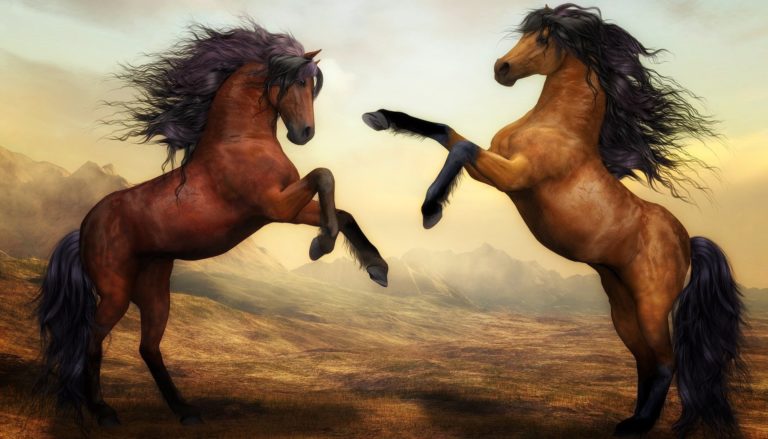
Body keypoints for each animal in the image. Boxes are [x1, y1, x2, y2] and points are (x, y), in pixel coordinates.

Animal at [35, 23, 389, 427]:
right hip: (115, 292)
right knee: (92, 339)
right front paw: (322, 245)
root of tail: (83, 228)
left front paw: (375, 267)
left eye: (311, 85)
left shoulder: (283, 208)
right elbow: (324, 176)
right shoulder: (275, 205)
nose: (304, 133)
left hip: (154, 289)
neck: (240, 141)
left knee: (148, 347)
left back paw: (185, 410)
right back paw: (103, 410)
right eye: (297, 82)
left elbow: (342, 212)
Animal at [363, 4, 744, 438]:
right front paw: (380, 117)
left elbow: (461, 147)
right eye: (525, 34)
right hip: (622, 304)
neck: (557, 127)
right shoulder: (496, 165)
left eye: (544, 39)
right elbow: (446, 132)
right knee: (645, 360)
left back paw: (638, 425)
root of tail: (688, 240)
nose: (502, 68)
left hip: (652, 303)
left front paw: (431, 209)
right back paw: (630, 418)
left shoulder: (514, 177)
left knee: (665, 362)